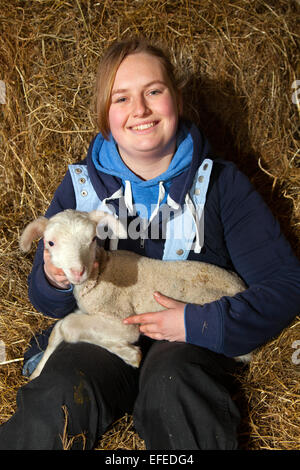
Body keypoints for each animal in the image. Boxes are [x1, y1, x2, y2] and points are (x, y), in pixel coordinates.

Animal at [19, 207, 251, 380]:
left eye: (93, 238)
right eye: (50, 243)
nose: (78, 271)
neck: (101, 273)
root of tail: (240, 286)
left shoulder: (120, 316)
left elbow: (68, 327)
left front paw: (129, 354)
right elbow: (58, 329)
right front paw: (37, 372)